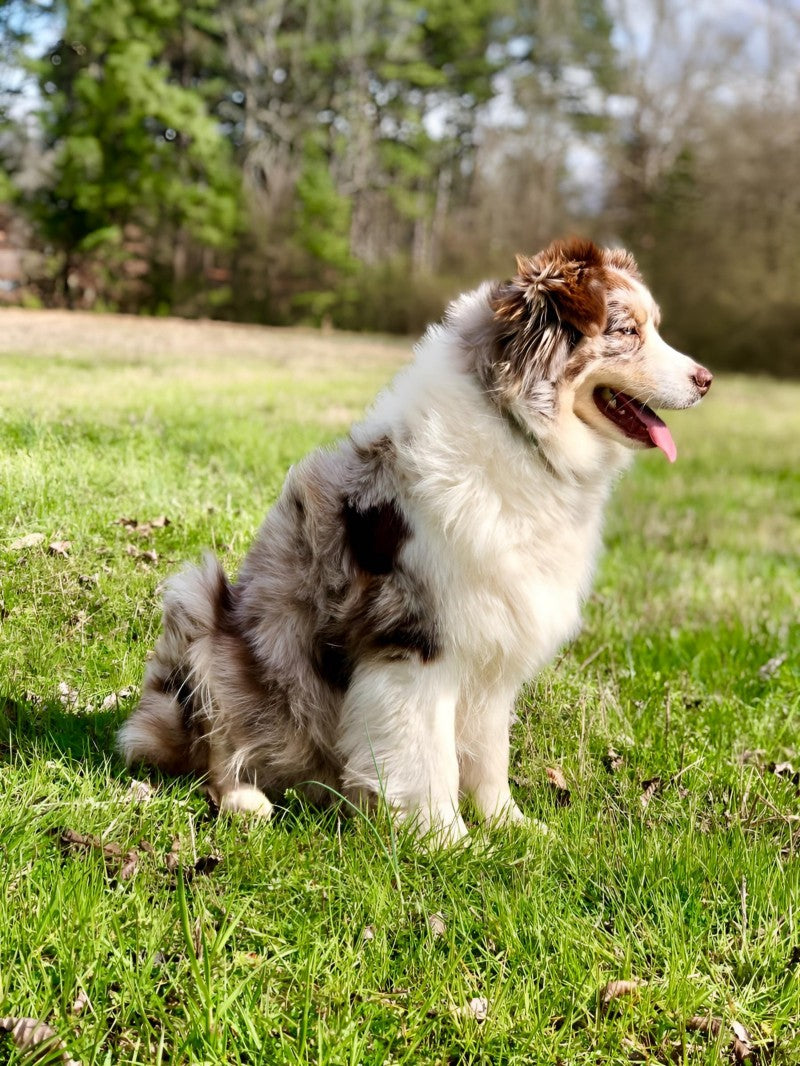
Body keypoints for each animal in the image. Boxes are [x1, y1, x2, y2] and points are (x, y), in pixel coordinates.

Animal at [117, 239, 712, 840]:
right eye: (627, 331)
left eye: (654, 327)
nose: (706, 379)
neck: (518, 429)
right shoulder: (416, 639)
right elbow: (428, 756)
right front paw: (448, 840)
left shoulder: (495, 634)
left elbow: (489, 753)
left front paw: (511, 828)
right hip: (203, 615)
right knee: (212, 748)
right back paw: (243, 798)